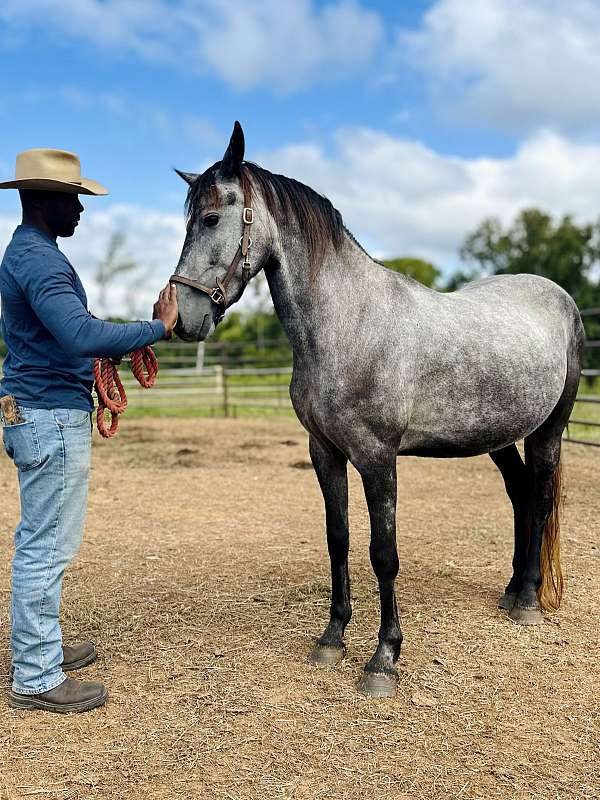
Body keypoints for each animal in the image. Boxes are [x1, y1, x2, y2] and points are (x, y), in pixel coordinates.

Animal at [171, 122, 584, 696]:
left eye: (211, 218)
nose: (181, 317)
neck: (348, 323)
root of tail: (558, 298)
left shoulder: (377, 459)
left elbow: (383, 554)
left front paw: (383, 659)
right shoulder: (324, 453)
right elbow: (338, 540)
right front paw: (331, 639)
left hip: (549, 431)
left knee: (540, 498)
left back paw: (527, 600)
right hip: (497, 437)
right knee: (521, 497)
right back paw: (510, 589)